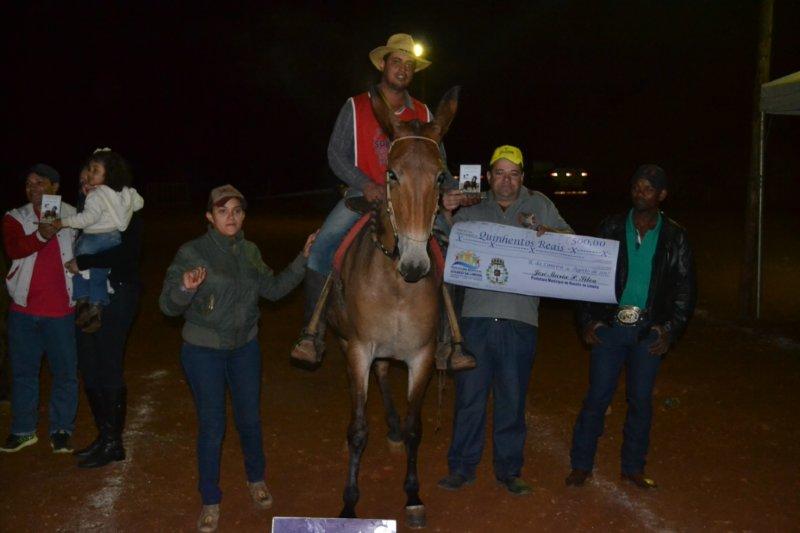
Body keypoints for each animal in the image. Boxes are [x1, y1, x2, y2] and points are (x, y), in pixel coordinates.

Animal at [324, 88, 460, 528]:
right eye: (392, 174)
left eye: (439, 177)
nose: (416, 264)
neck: (399, 284)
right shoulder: (357, 350)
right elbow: (358, 430)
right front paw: (349, 503)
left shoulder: (422, 355)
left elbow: (417, 428)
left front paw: (413, 495)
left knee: (385, 374)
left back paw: (396, 429)